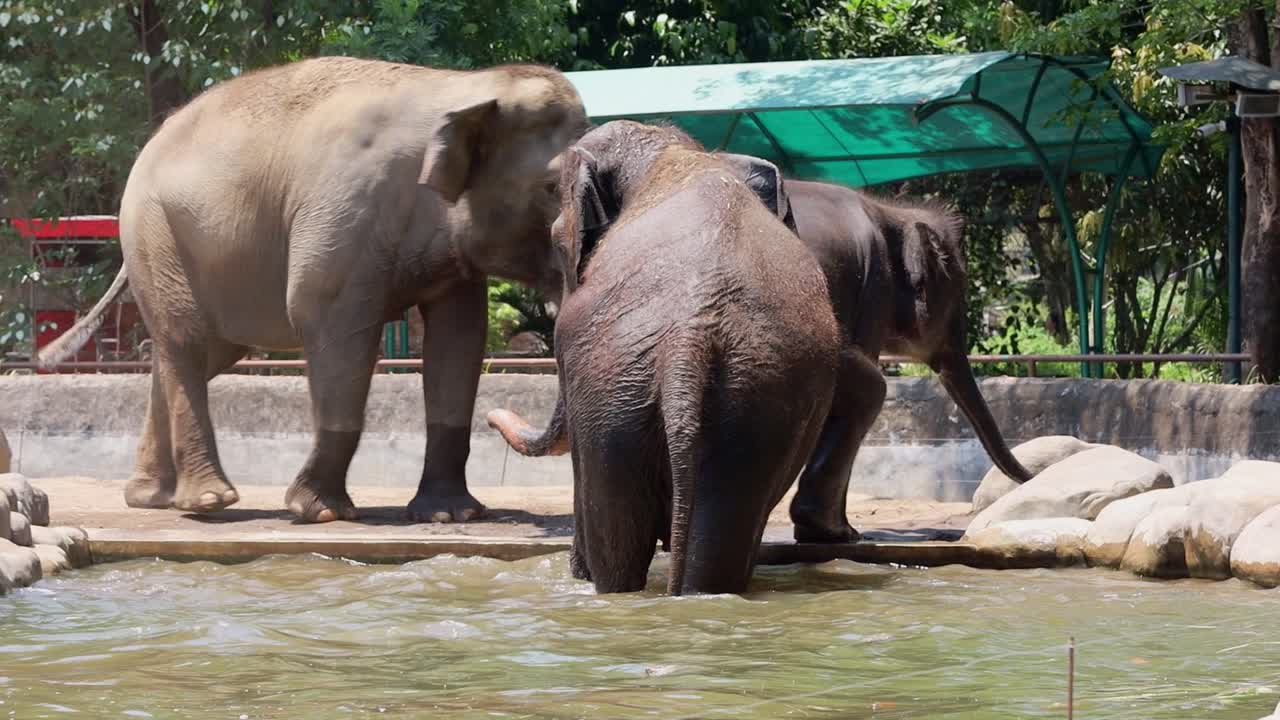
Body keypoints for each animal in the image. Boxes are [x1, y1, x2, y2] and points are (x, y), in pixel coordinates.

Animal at [38, 56, 588, 524]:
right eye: (549, 188)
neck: (464, 87)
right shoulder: (345, 214)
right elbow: (331, 328)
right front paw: (320, 512)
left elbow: (458, 340)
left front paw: (451, 515)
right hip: (157, 235)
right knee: (187, 343)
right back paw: (209, 502)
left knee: (191, 354)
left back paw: (151, 497)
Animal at [488, 120, 841, 595]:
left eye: (557, 240)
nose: (491, 415)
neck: (674, 154)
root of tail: (688, 342)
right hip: (750, 402)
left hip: (609, 393)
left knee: (619, 552)